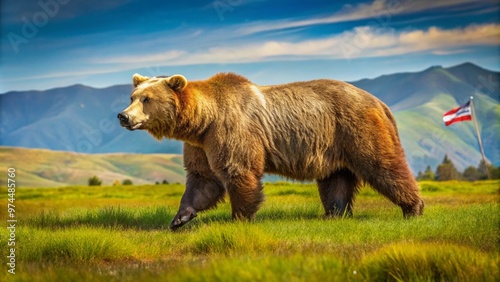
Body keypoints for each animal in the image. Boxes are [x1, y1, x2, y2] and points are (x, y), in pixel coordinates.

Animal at [117, 72, 422, 229]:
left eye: (147, 99)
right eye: (132, 97)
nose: (123, 116)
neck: (202, 121)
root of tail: (380, 102)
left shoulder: (230, 130)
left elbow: (237, 170)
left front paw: (239, 218)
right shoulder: (200, 144)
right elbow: (203, 180)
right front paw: (180, 217)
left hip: (356, 129)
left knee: (382, 165)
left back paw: (413, 208)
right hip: (332, 145)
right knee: (336, 180)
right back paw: (334, 213)